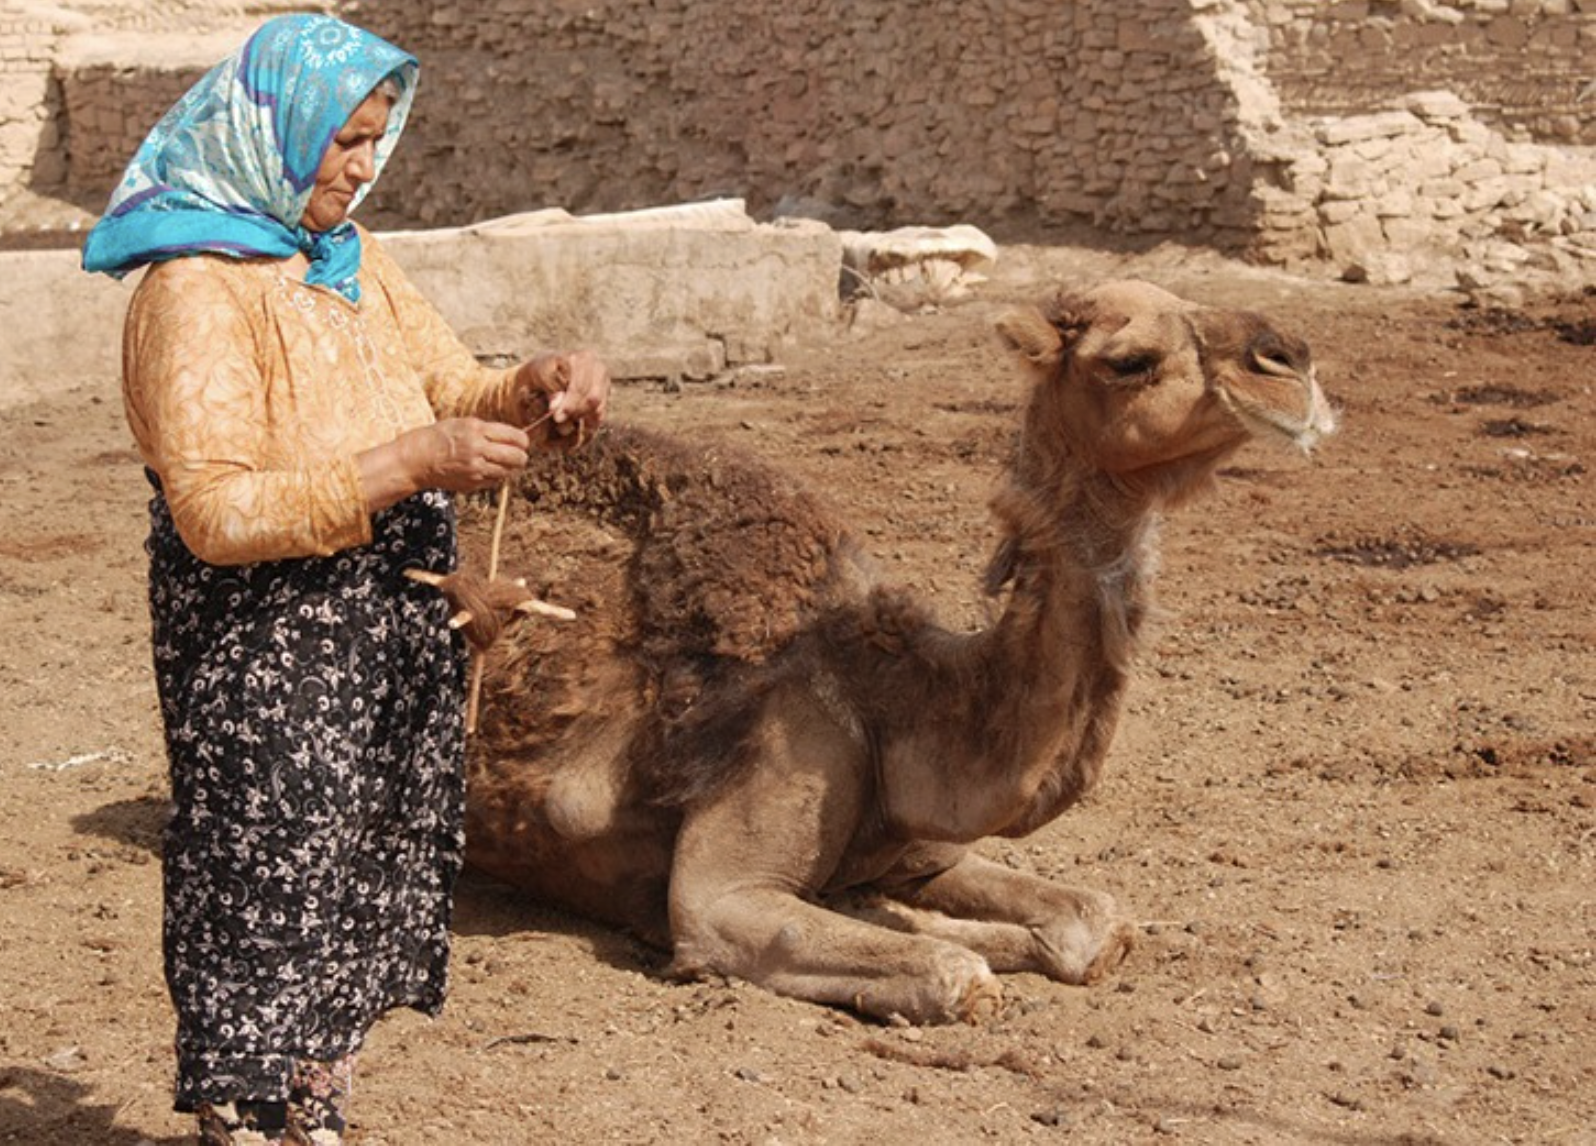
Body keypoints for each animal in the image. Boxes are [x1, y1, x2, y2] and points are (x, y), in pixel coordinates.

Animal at [452, 279, 1336, 1025]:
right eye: (1131, 360)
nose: (1290, 359)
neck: (891, 696)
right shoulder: (725, 884)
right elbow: (954, 973)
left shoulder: (919, 848)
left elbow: (1098, 922)